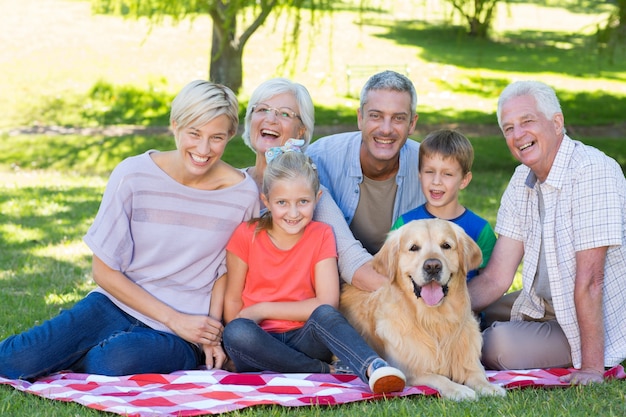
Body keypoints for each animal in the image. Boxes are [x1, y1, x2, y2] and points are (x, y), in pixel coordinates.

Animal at [338, 218, 504, 400]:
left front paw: (490, 387)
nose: (432, 266)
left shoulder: (469, 362)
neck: (434, 319)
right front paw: (458, 389)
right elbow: (439, 377)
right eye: (414, 248)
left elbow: (478, 375)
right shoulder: (411, 371)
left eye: (446, 245)